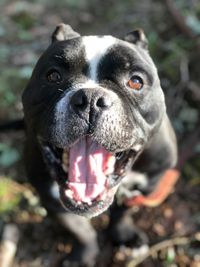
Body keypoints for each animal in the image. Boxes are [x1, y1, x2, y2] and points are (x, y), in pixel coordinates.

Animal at [21, 24, 177, 266]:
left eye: (136, 81)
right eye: (53, 76)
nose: (90, 99)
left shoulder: (149, 183)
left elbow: (123, 212)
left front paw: (124, 235)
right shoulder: (50, 198)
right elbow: (79, 230)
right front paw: (83, 255)